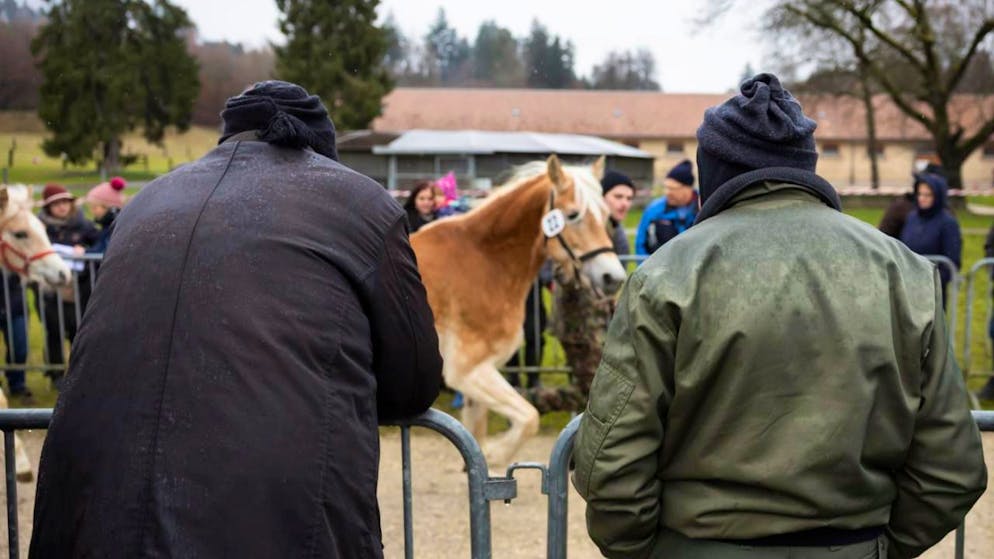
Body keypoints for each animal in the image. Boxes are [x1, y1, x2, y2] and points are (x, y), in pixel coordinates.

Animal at [411, 155, 626, 465]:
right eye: (573, 214)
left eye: (607, 215)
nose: (613, 278)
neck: (484, 259)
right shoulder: (468, 371)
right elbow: (529, 418)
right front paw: (498, 453)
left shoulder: (478, 379)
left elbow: (477, 440)